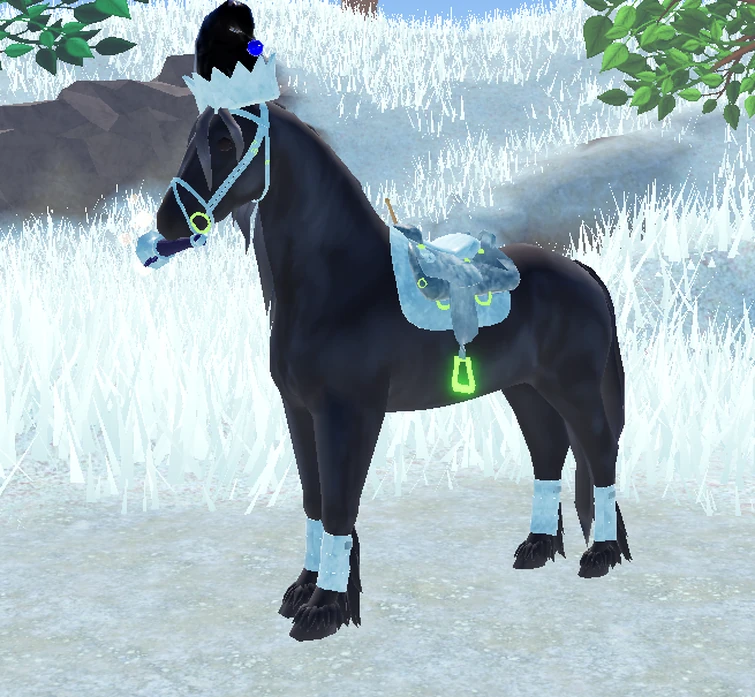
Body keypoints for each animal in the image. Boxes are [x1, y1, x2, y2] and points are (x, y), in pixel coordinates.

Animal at [155, 99, 632, 642]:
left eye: (224, 142)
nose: (168, 220)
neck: (343, 286)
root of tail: (582, 272)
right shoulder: (300, 412)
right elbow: (315, 500)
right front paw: (305, 591)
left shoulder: (349, 416)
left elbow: (340, 506)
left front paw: (324, 610)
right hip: (526, 390)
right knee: (549, 452)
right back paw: (537, 547)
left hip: (573, 388)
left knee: (599, 454)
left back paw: (600, 554)